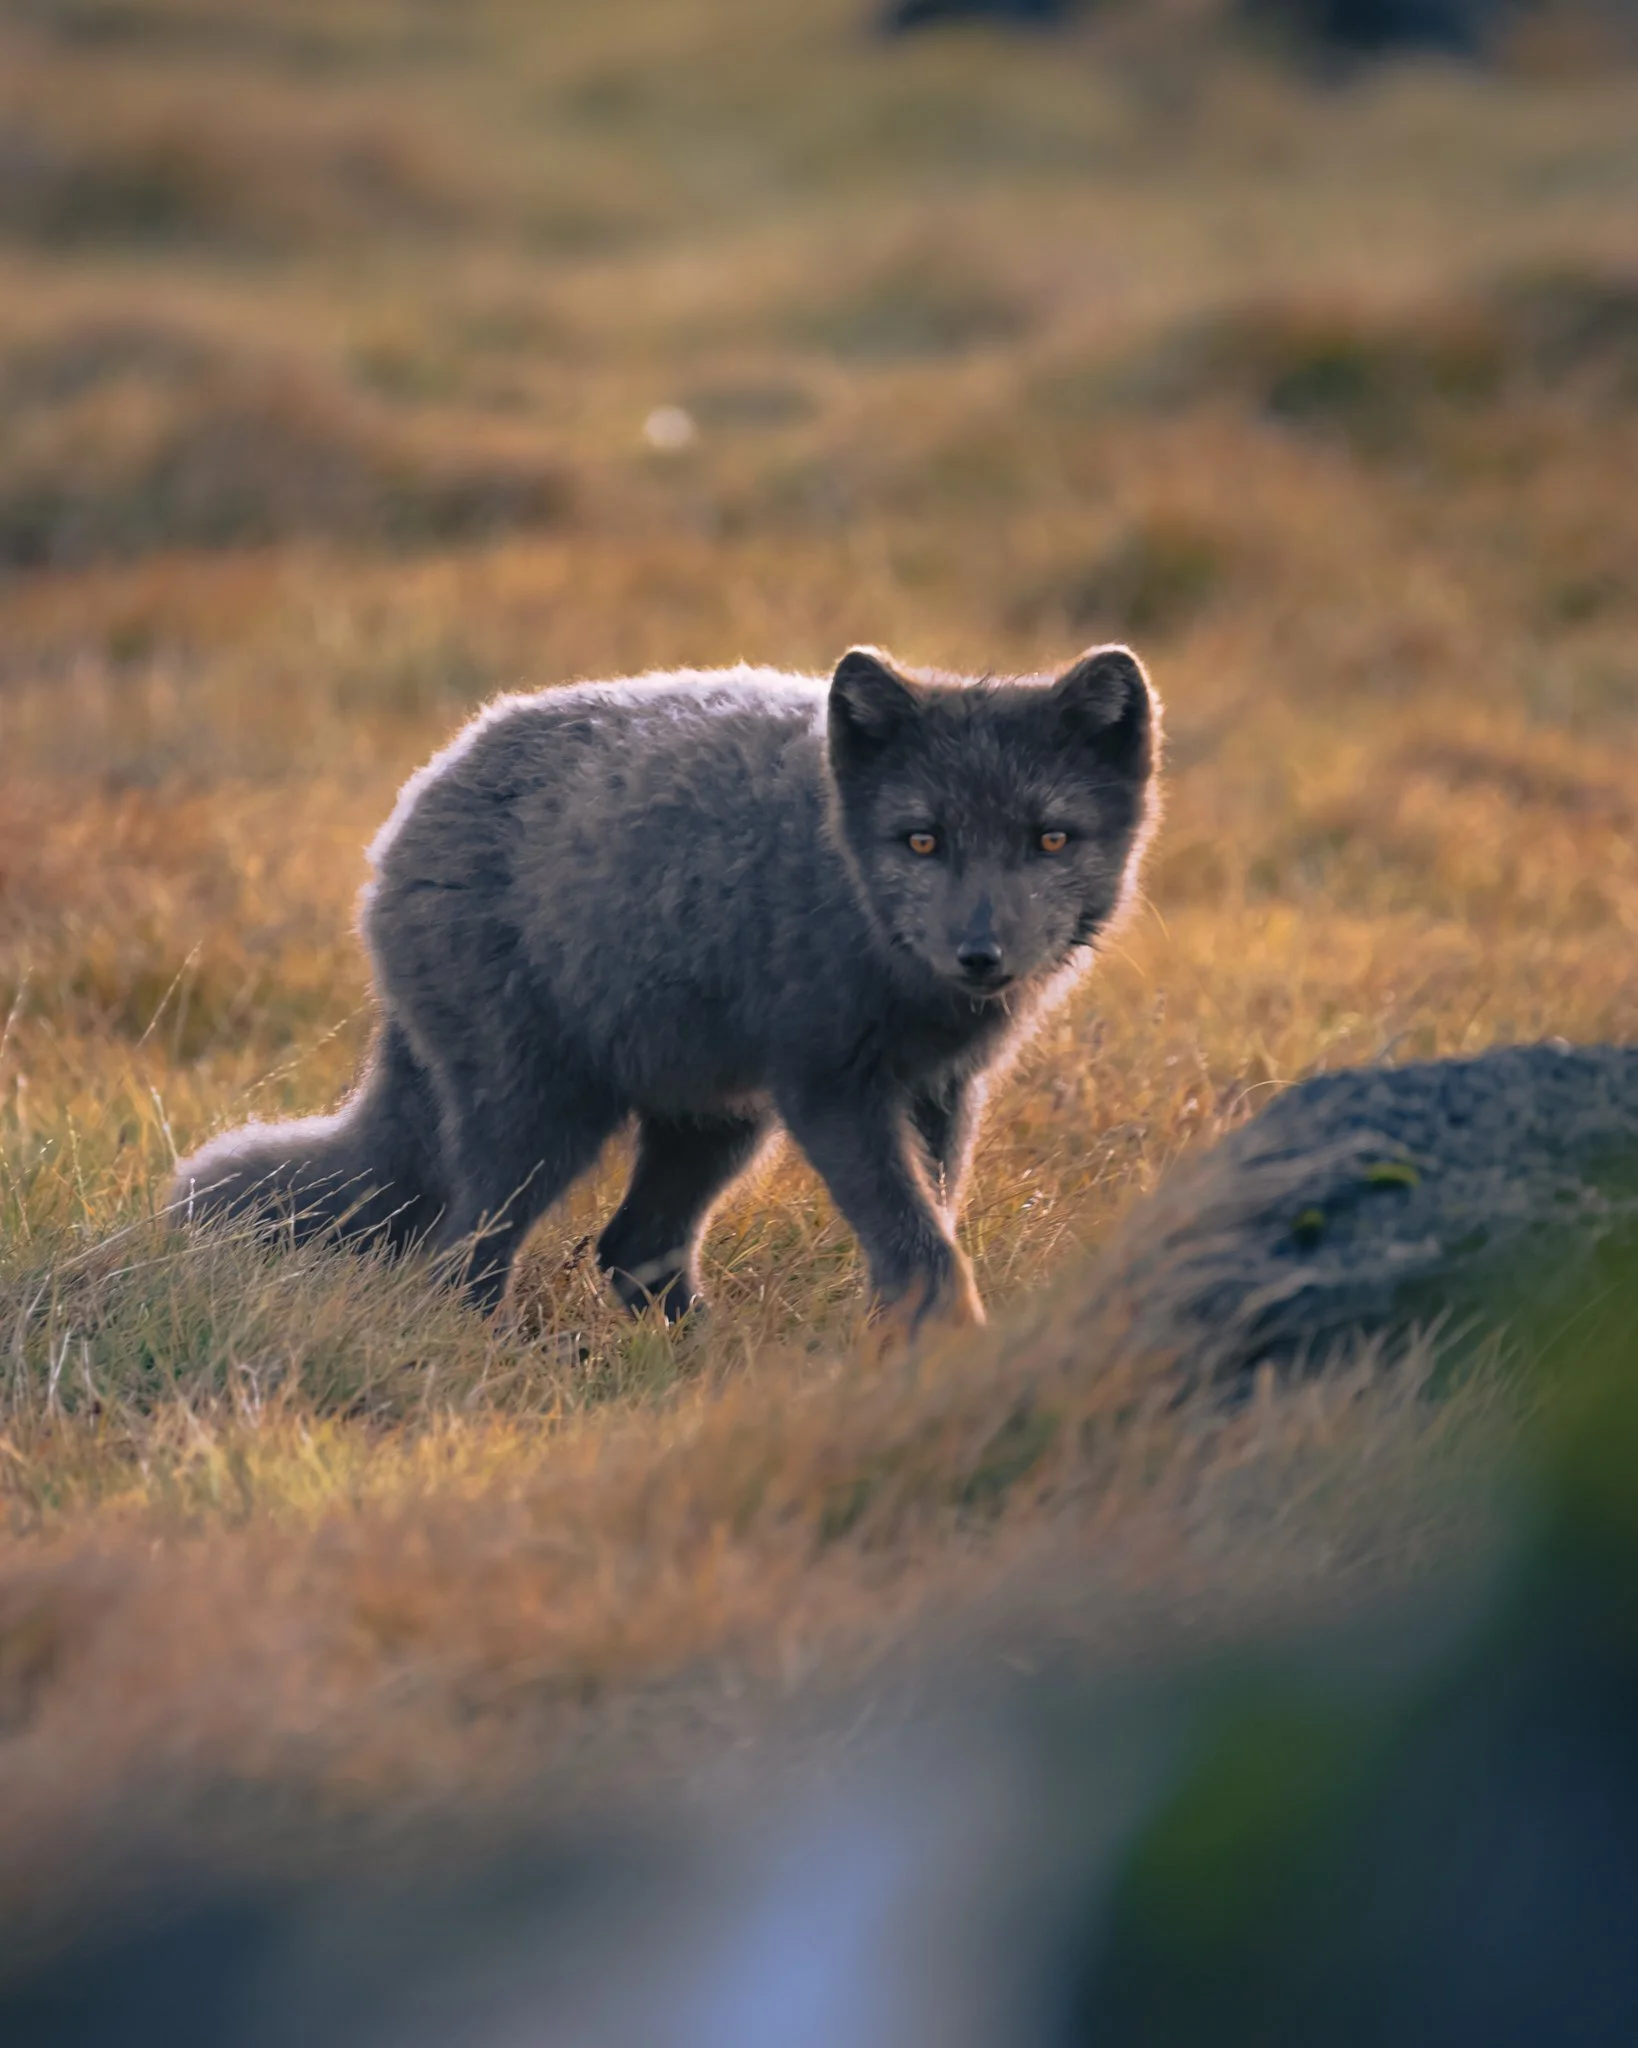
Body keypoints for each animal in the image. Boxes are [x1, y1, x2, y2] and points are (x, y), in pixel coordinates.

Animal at [170, 644, 1161, 1353]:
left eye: (1049, 839)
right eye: (922, 840)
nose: (981, 956)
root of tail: (417, 802)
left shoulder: (940, 1093)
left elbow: (931, 1224)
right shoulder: (833, 1091)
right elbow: (920, 1243)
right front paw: (952, 1348)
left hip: (714, 1123)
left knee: (630, 1251)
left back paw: (719, 1367)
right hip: (544, 1121)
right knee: (464, 1261)